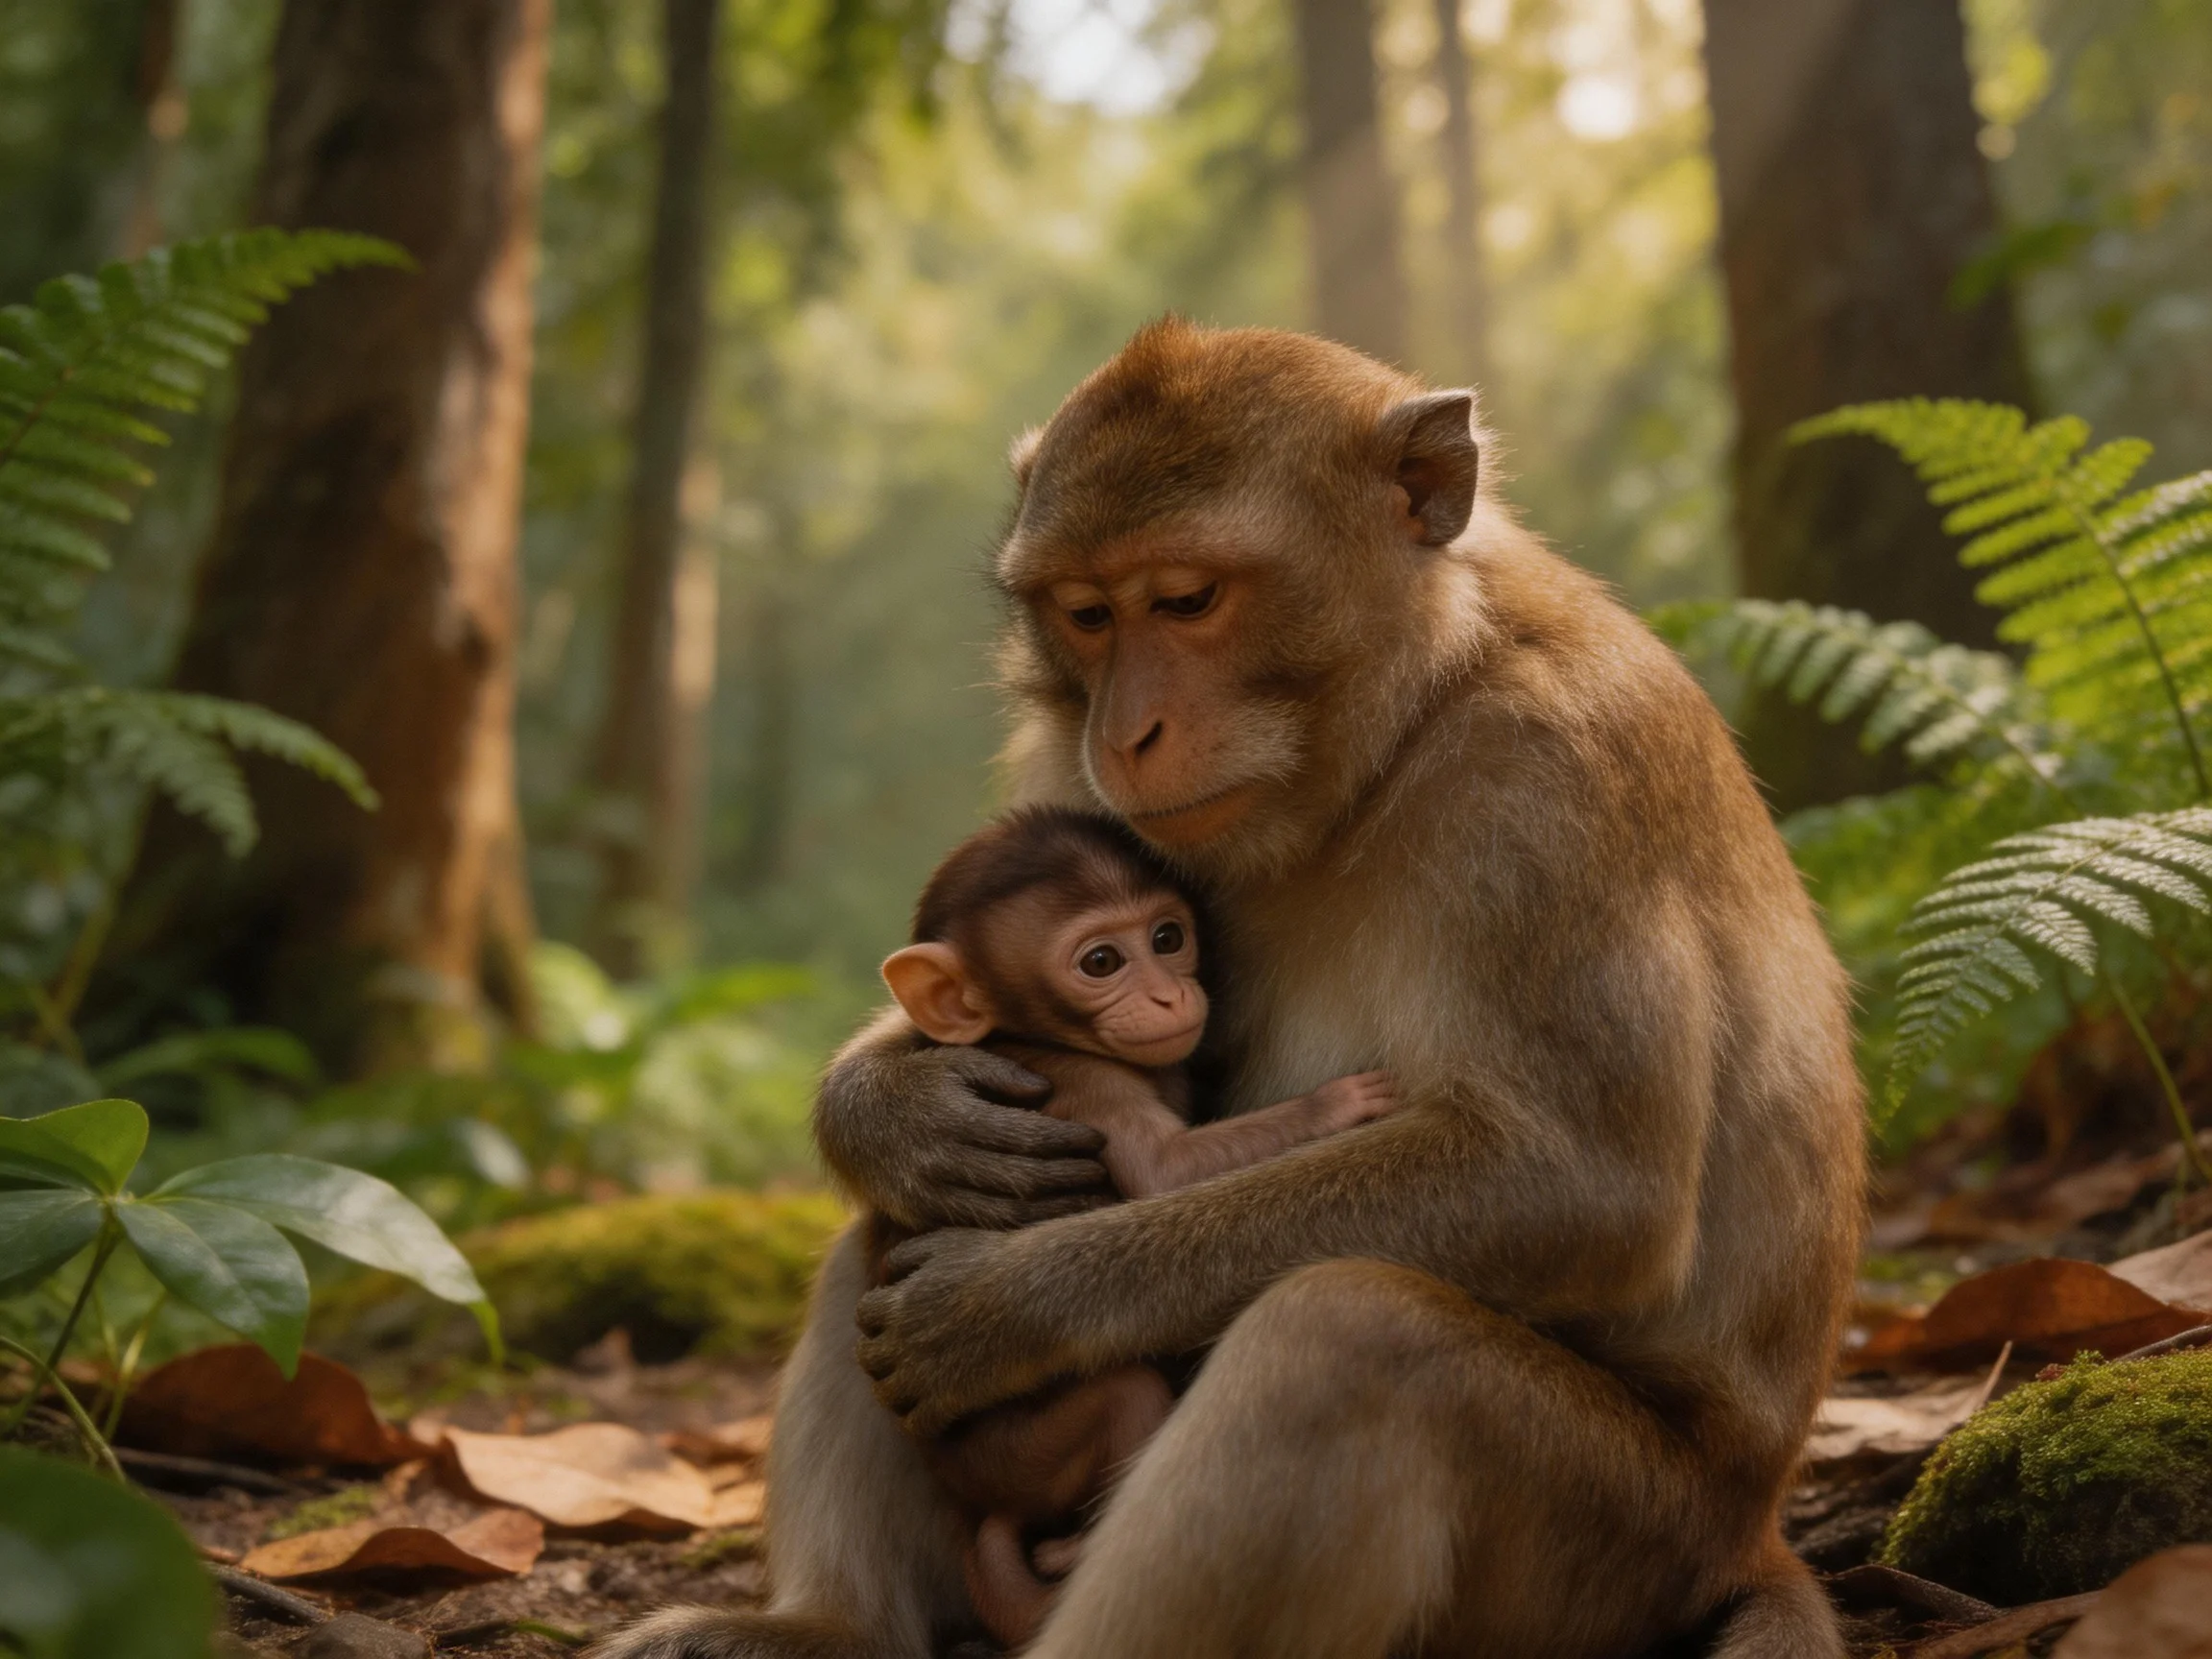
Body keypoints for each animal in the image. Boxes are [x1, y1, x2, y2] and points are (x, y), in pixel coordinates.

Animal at [871, 805, 1401, 1648]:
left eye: (1166, 938)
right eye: (1100, 962)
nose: (1167, 996)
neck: (1036, 1038)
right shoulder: (1088, 1084)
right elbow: (1163, 1173)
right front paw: (1337, 1104)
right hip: (1016, 1456)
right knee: (1126, 1397)